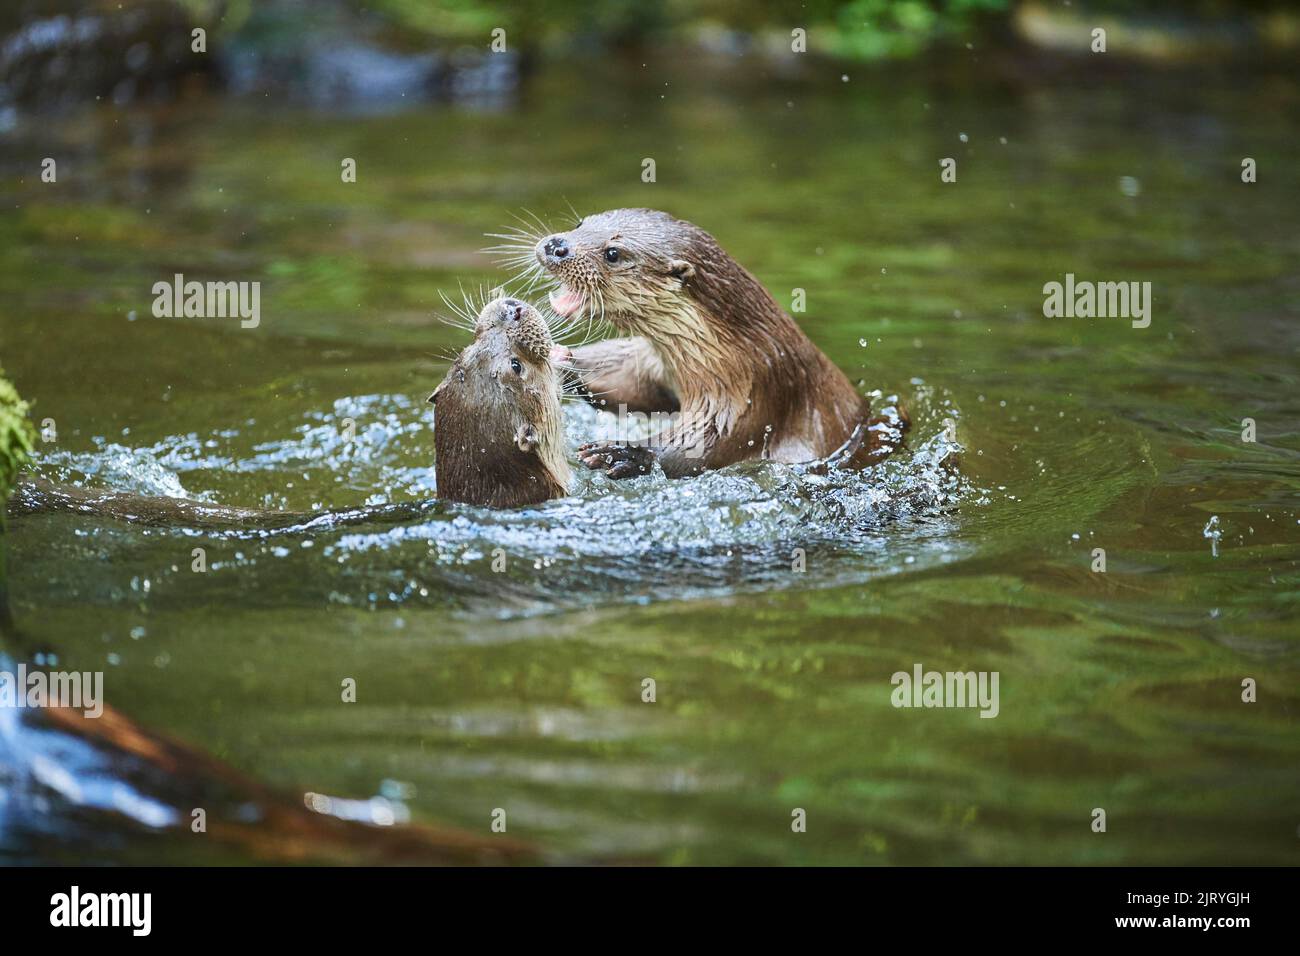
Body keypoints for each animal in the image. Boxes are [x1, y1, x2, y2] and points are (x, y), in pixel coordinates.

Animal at [525, 208, 904, 478]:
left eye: (613, 253)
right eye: (579, 223)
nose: (556, 246)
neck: (734, 350)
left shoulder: (750, 394)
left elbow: (703, 445)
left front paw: (624, 453)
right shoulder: (654, 364)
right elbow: (629, 386)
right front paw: (559, 359)